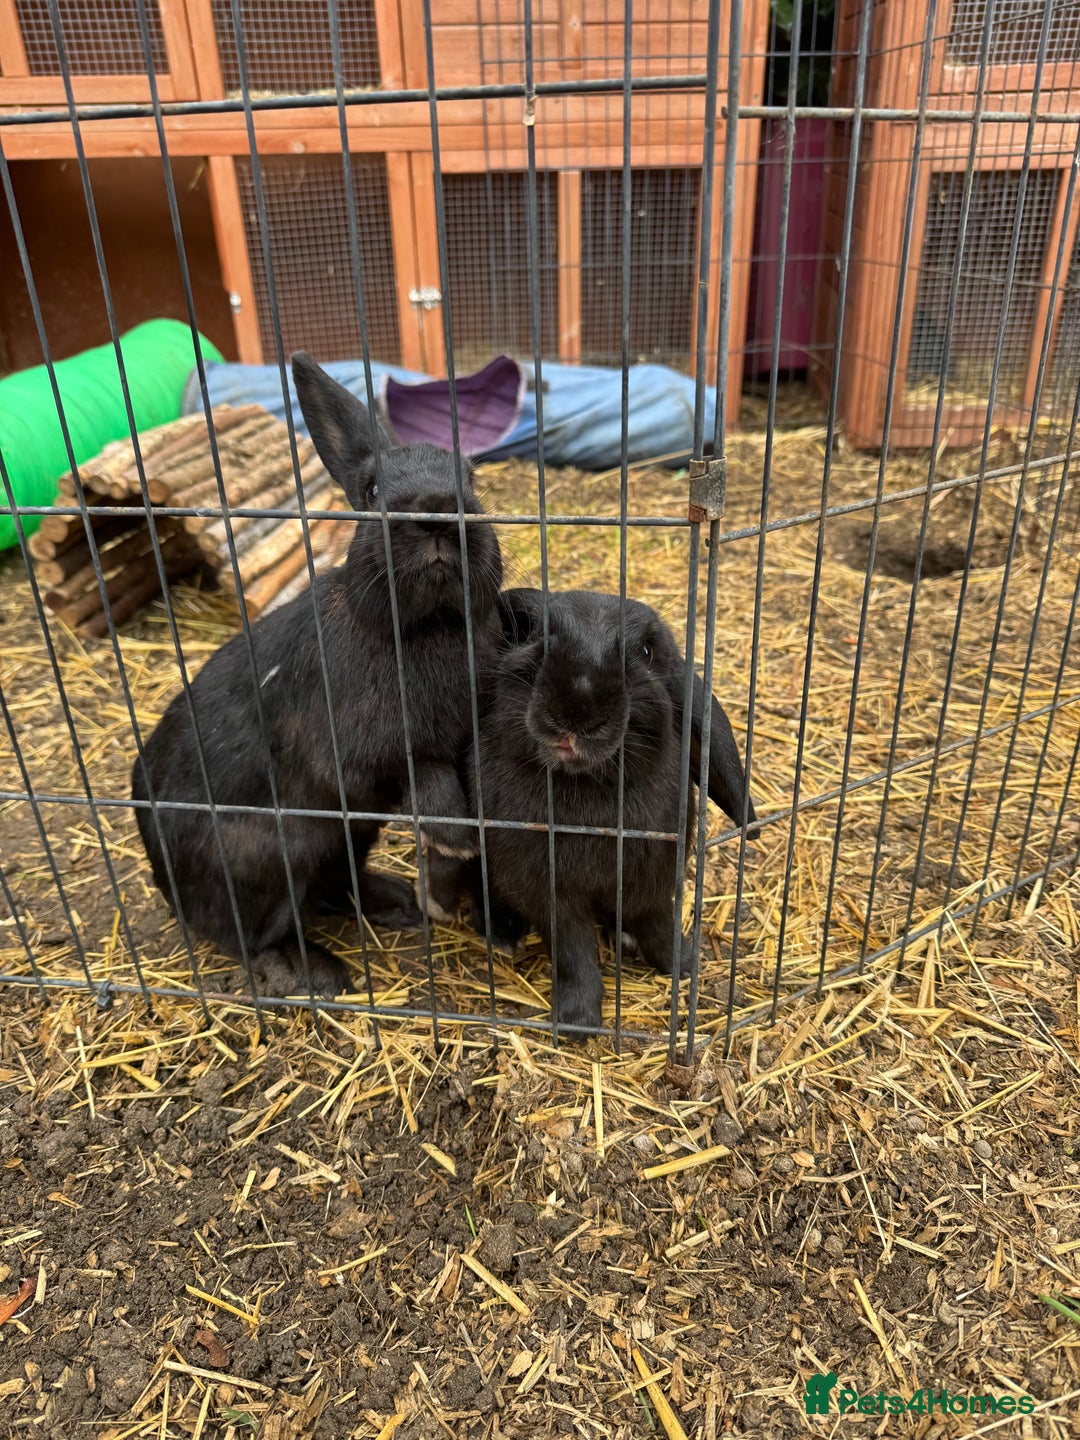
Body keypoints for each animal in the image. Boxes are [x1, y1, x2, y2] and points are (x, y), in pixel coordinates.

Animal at [131, 352, 504, 999]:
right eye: (372, 491)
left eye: (473, 480)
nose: (435, 511)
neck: (426, 627)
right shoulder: (367, 755)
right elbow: (428, 782)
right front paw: (451, 849)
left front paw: (442, 893)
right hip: (274, 856)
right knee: (249, 934)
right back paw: (317, 972)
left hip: (346, 837)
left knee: (332, 888)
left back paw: (397, 904)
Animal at [424, 587, 757, 1034]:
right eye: (538, 638)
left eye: (646, 652)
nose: (576, 708)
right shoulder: (551, 896)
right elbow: (573, 953)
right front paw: (578, 1022)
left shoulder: (649, 882)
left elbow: (657, 926)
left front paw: (685, 965)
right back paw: (505, 934)